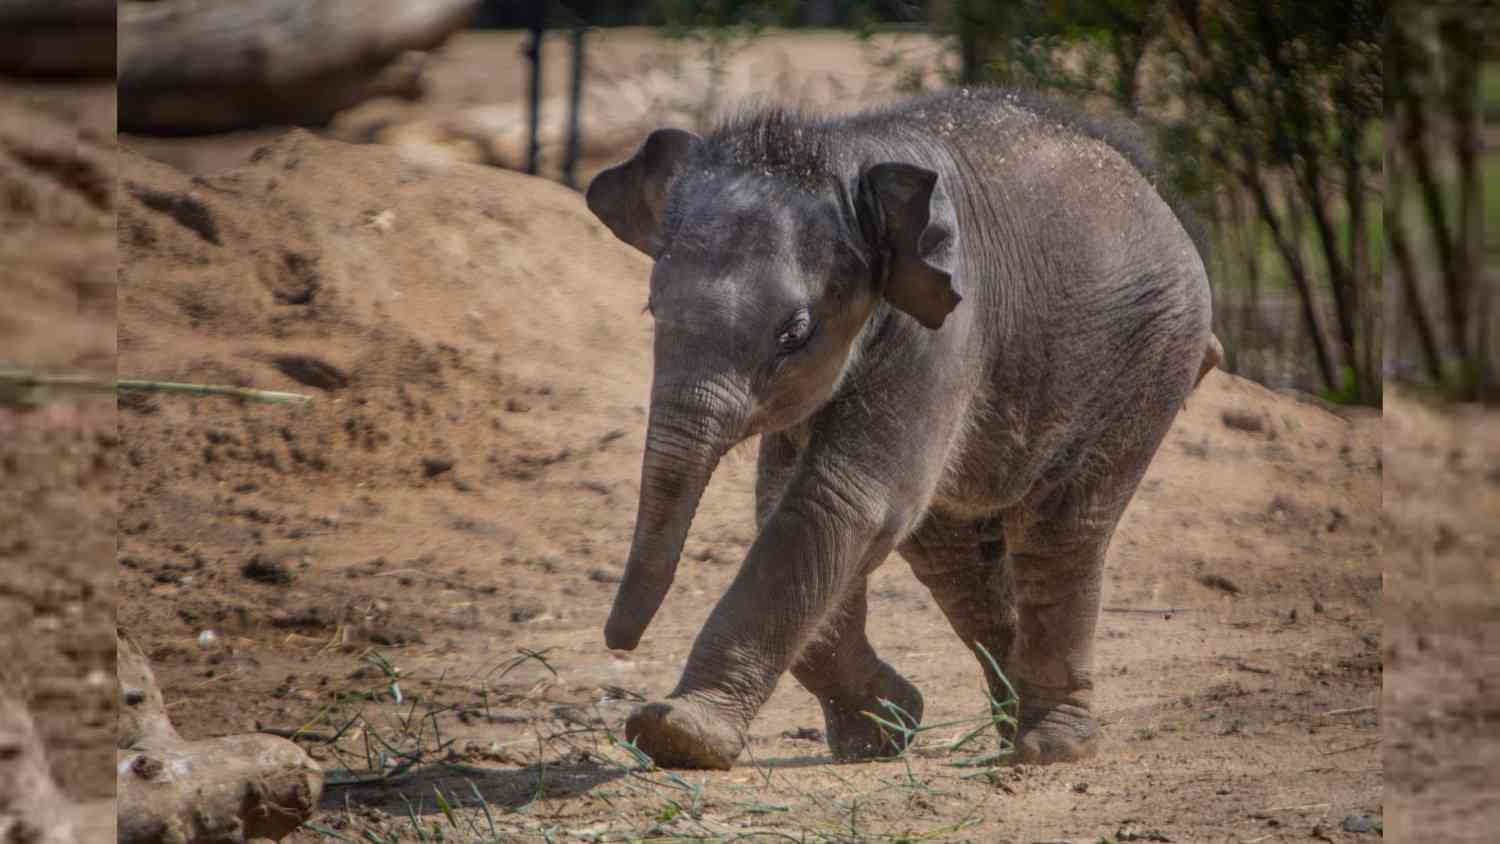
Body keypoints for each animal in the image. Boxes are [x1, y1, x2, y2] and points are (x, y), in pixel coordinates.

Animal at [584, 87, 1219, 770]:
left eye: (793, 332)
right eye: (652, 308)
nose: (619, 643)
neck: (844, 153)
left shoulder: (946, 331)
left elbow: (844, 500)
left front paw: (677, 735)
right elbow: (792, 505)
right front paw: (884, 729)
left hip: (1150, 357)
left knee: (1061, 533)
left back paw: (1048, 747)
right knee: (955, 565)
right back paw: (1006, 719)